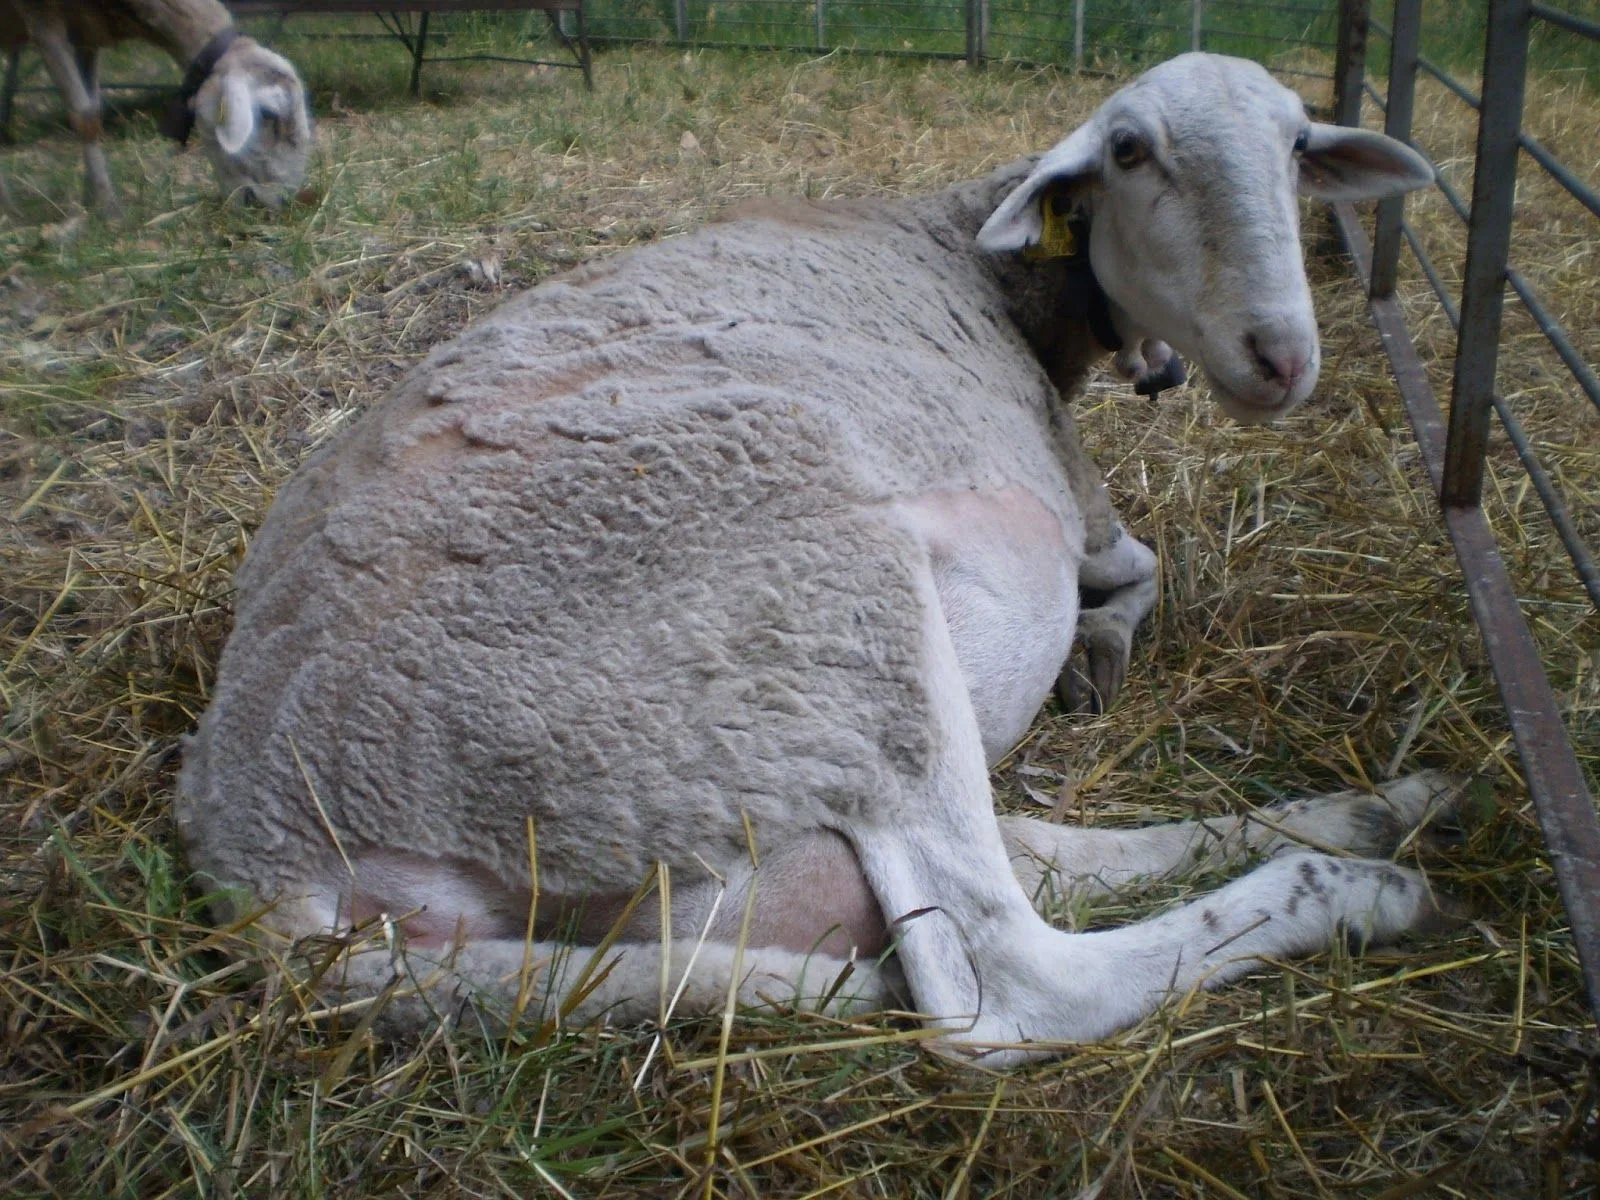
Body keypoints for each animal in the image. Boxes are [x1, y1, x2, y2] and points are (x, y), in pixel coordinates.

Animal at [3, 0, 310, 211]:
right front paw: (108, 210)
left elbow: (94, 110)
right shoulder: (43, 19)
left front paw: (93, 196)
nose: (285, 202)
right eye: (269, 114)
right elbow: (85, 118)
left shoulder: (87, 34)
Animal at [175, 54, 1440, 1062]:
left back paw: (1374, 810)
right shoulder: (1069, 490)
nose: (1279, 355)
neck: (976, 262)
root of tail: (263, 860)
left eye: (1297, 147)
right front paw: (1104, 650)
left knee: (1020, 859)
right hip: (812, 618)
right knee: (1005, 990)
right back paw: (1357, 887)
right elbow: (1137, 566)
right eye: (1130, 152)